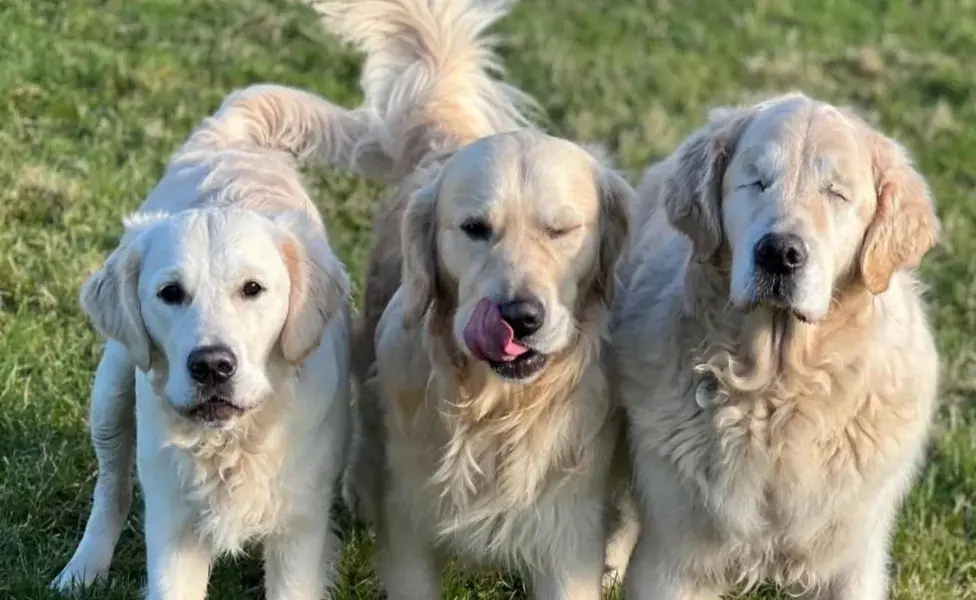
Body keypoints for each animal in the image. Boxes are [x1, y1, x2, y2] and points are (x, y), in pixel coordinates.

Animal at [51, 84, 390, 600]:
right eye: (170, 293)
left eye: (252, 289)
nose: (212, 365)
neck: (233, 441)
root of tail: (230, 138)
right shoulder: (173, 526)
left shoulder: (300, 528)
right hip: (112, 388)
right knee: (111, 487)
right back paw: (82, 569)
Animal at [612, 90, 940, 600]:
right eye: (756, 181)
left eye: (836, 192)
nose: (780, 254)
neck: (778, 392)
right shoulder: (673, 560)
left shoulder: (851, 561)